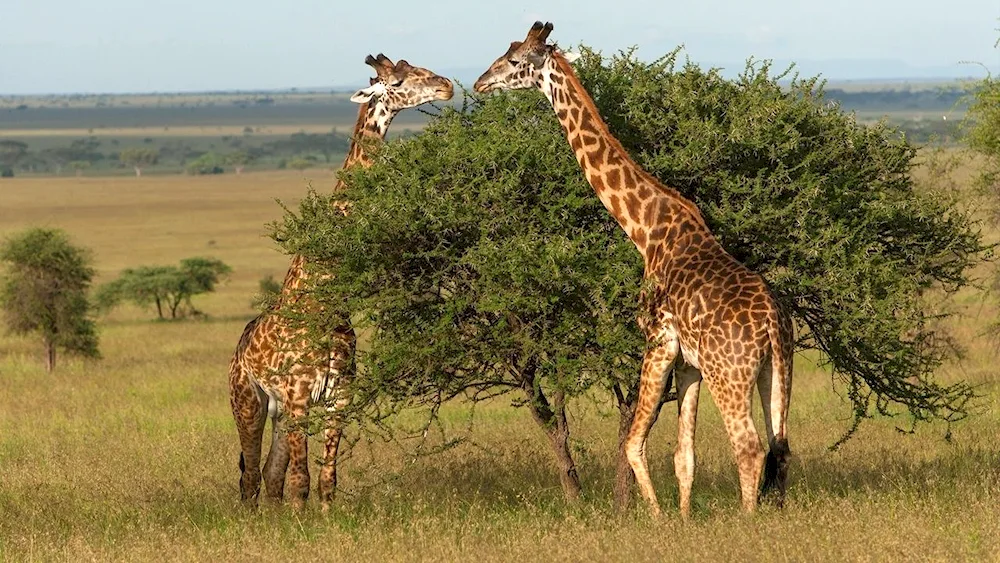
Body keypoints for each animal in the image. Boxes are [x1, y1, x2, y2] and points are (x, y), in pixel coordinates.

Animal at [229, 56, 452, 512]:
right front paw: (303, 522)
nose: (447, 86)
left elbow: (326, 477)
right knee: (251, 478)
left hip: (278, 410)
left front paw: (327, 518)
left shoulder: (338, 396)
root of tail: (237, 352)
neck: (326, 298)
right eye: (398, 80)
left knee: (269, 475)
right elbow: (301, 478)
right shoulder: (299, 397)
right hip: (247, 401)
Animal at [476, 23, 796, 520]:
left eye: (513, 61)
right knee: (780, 447)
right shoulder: (689, 363)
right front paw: (684, 520)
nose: (479, 83)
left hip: (731, 373)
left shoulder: (658, 341)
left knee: (749, 446)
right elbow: (684, 454)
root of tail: (771, 325)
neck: (646, 231)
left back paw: (748, 522)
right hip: (776, 371)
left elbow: (632, 442)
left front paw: (660, 519)